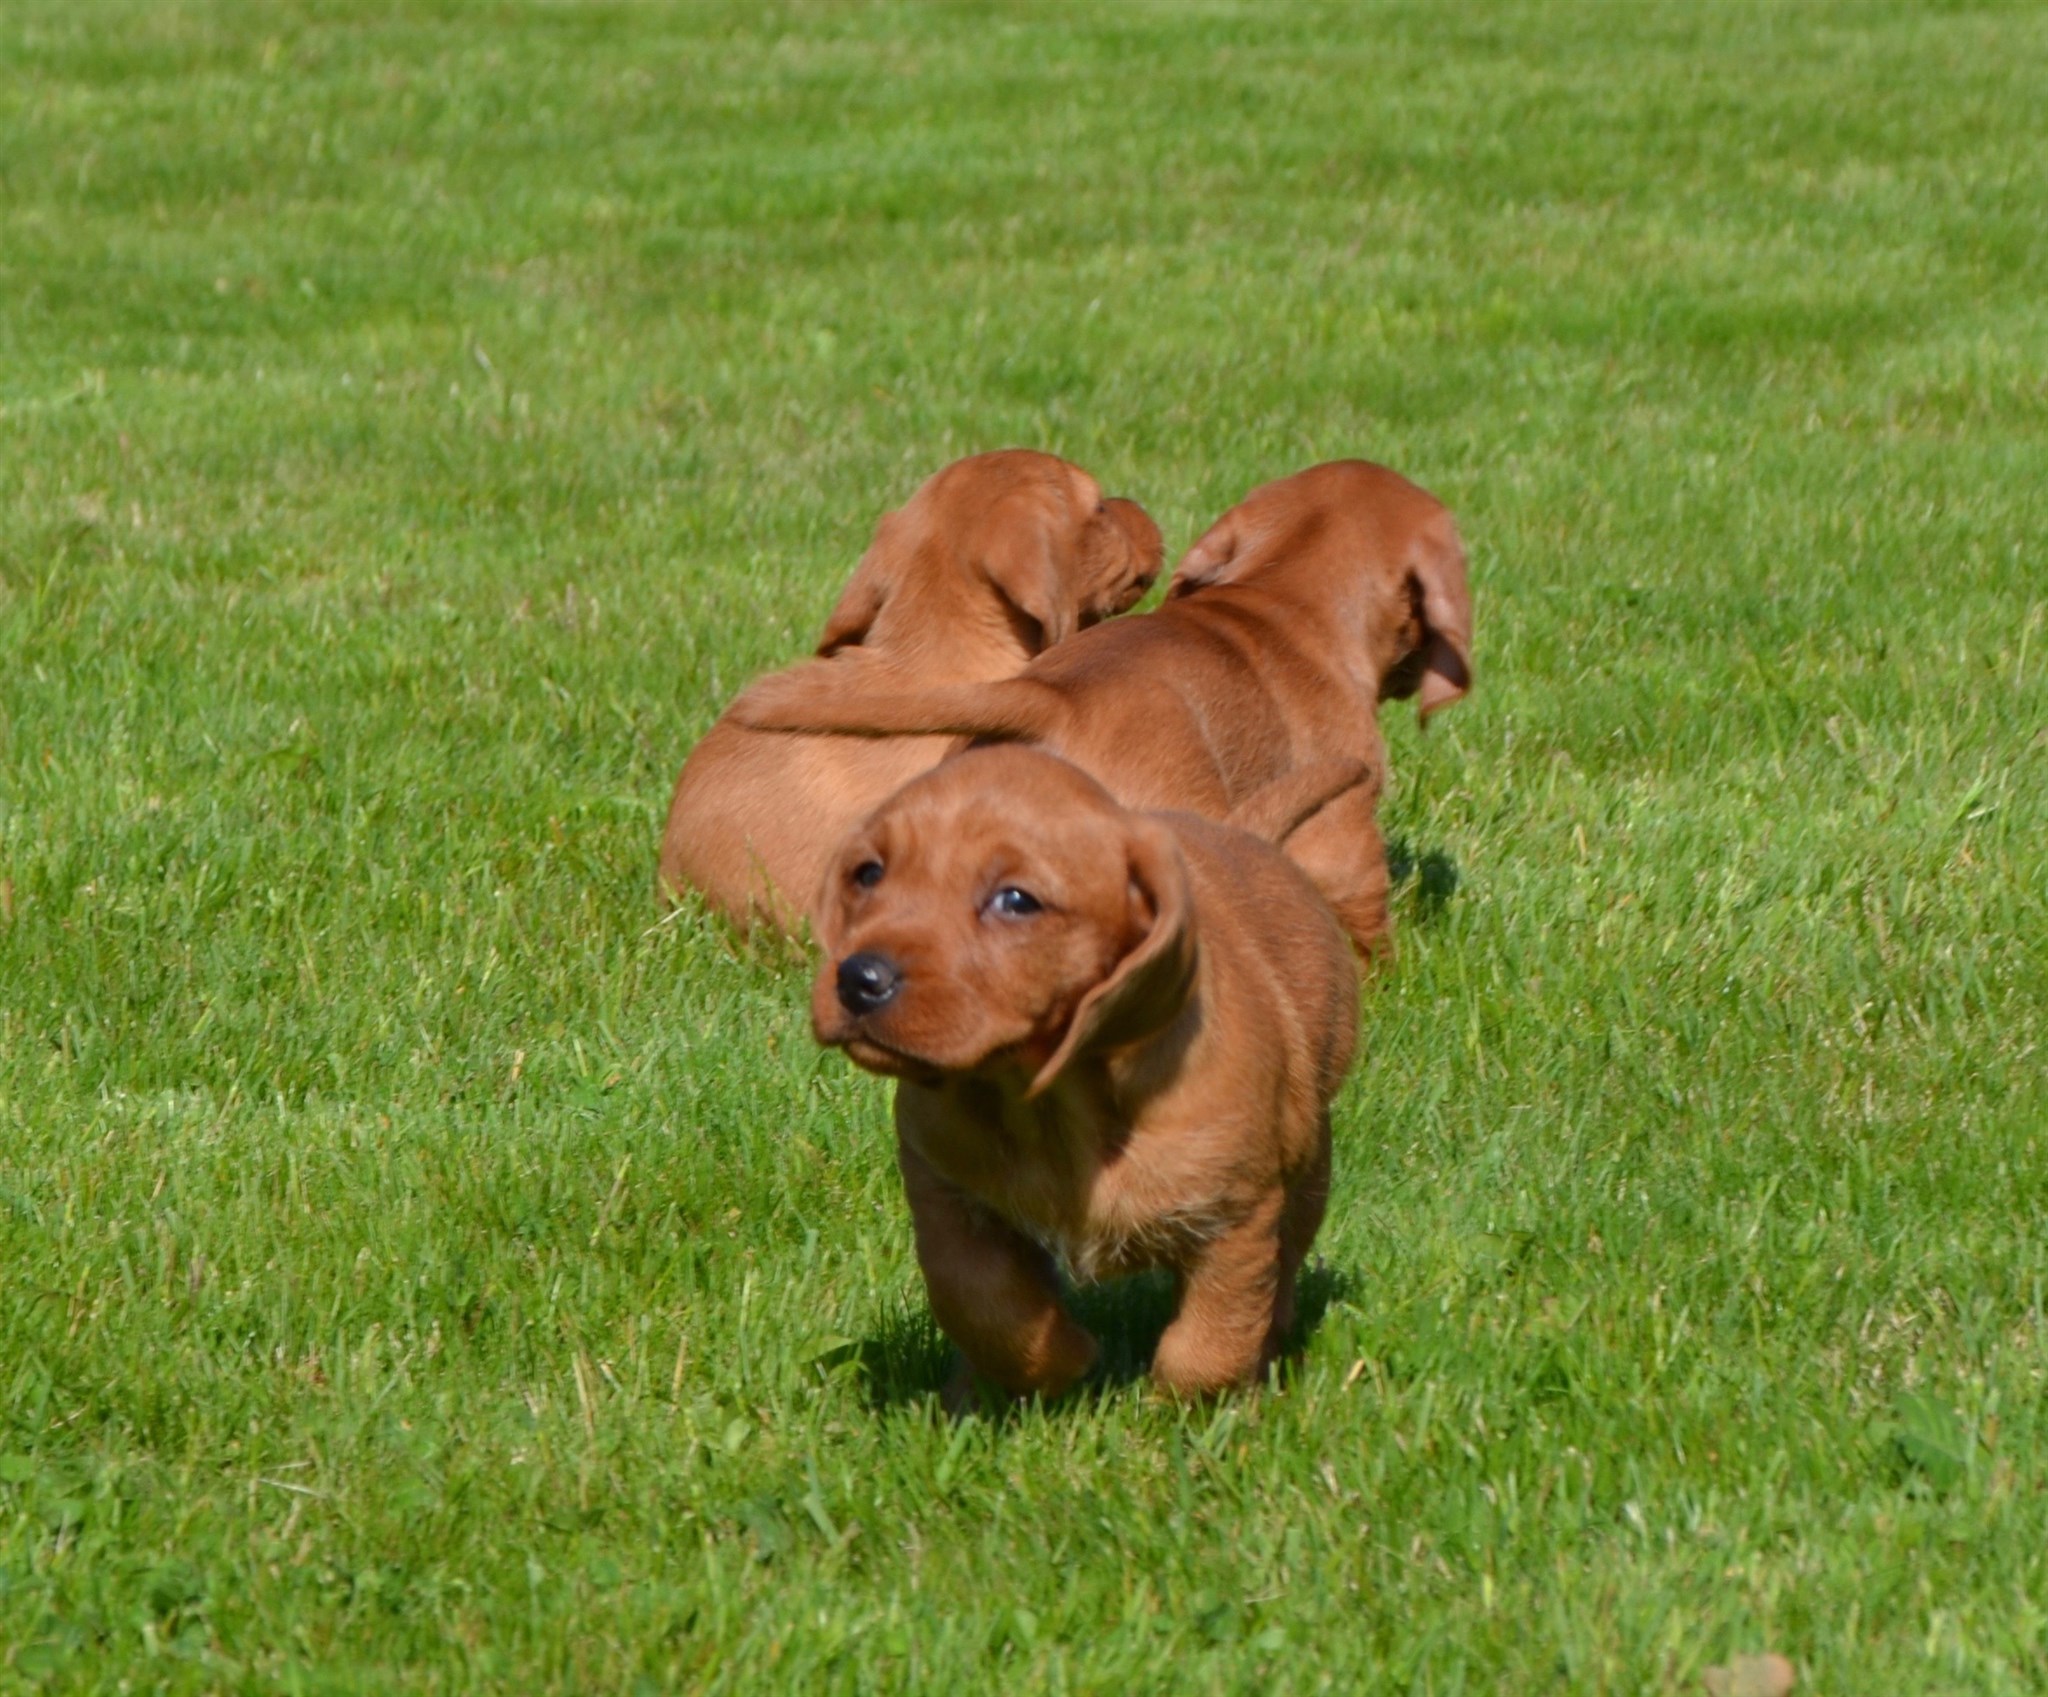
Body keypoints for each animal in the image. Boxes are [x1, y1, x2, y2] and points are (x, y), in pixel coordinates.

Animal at [810, 745, 1362, 1403]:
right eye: (868, 874)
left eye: (1016, 901)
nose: (858, 979)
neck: (1050, 1107)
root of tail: (1245, 834)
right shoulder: (944, 1192)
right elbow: (984, 1304)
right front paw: (1059, 1362)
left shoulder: (1239, 1218)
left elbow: (1210, 1342)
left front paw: (1193, 1409)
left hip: (1308, 1168)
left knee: (1284, 1273)